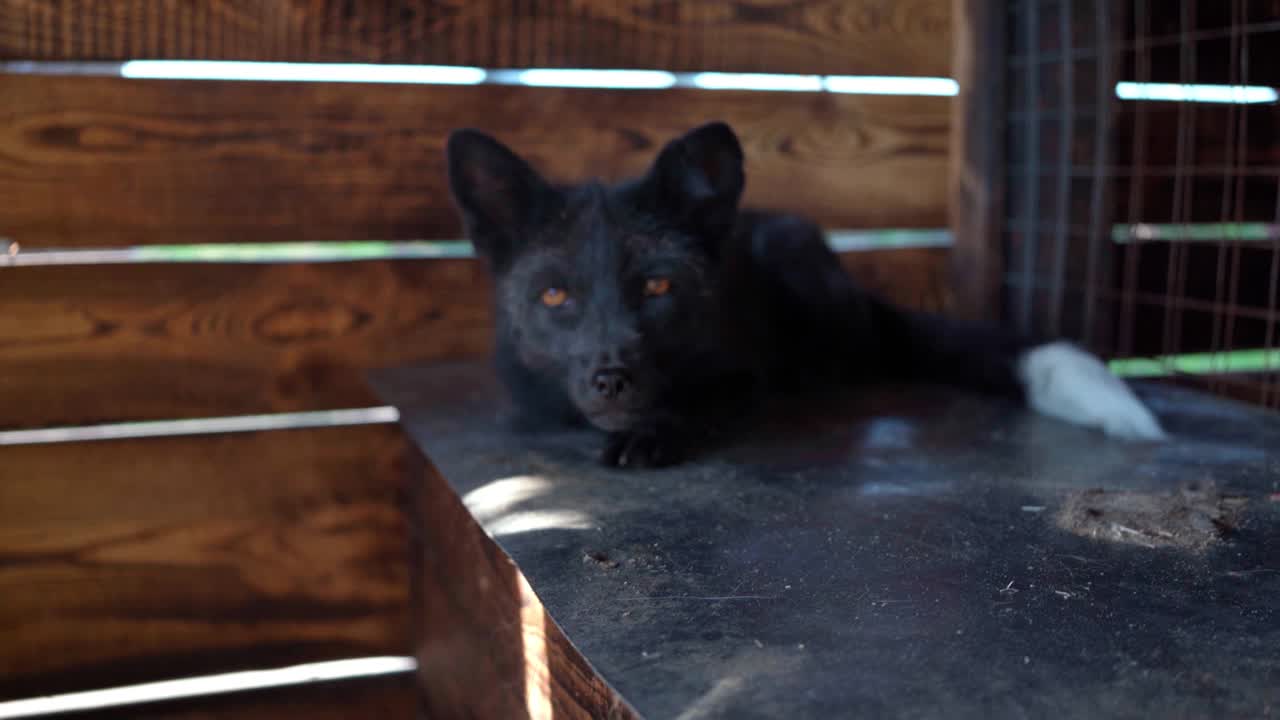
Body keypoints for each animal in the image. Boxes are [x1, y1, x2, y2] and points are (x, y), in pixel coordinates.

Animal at [445, 119, 1167, 466]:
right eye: (554, 297)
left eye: (657, 285)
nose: (610, 377)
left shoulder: (742, 372)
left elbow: (702, 400)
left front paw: (654, 431)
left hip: (793, 253)